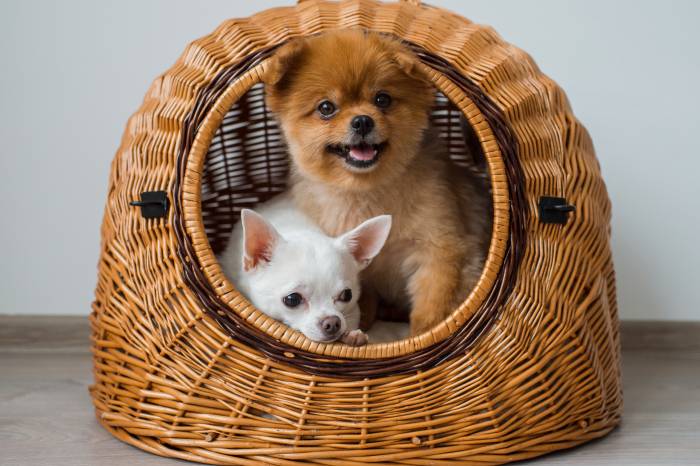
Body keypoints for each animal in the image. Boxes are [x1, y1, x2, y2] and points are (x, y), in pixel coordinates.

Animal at [264, 30, 492, 334]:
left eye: (382, 99)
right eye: (326, 108)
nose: (362, 121)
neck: (366, 190)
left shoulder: (442, 254)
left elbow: (432, 314)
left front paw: (422, 337)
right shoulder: (364, 268)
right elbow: (363, 302)